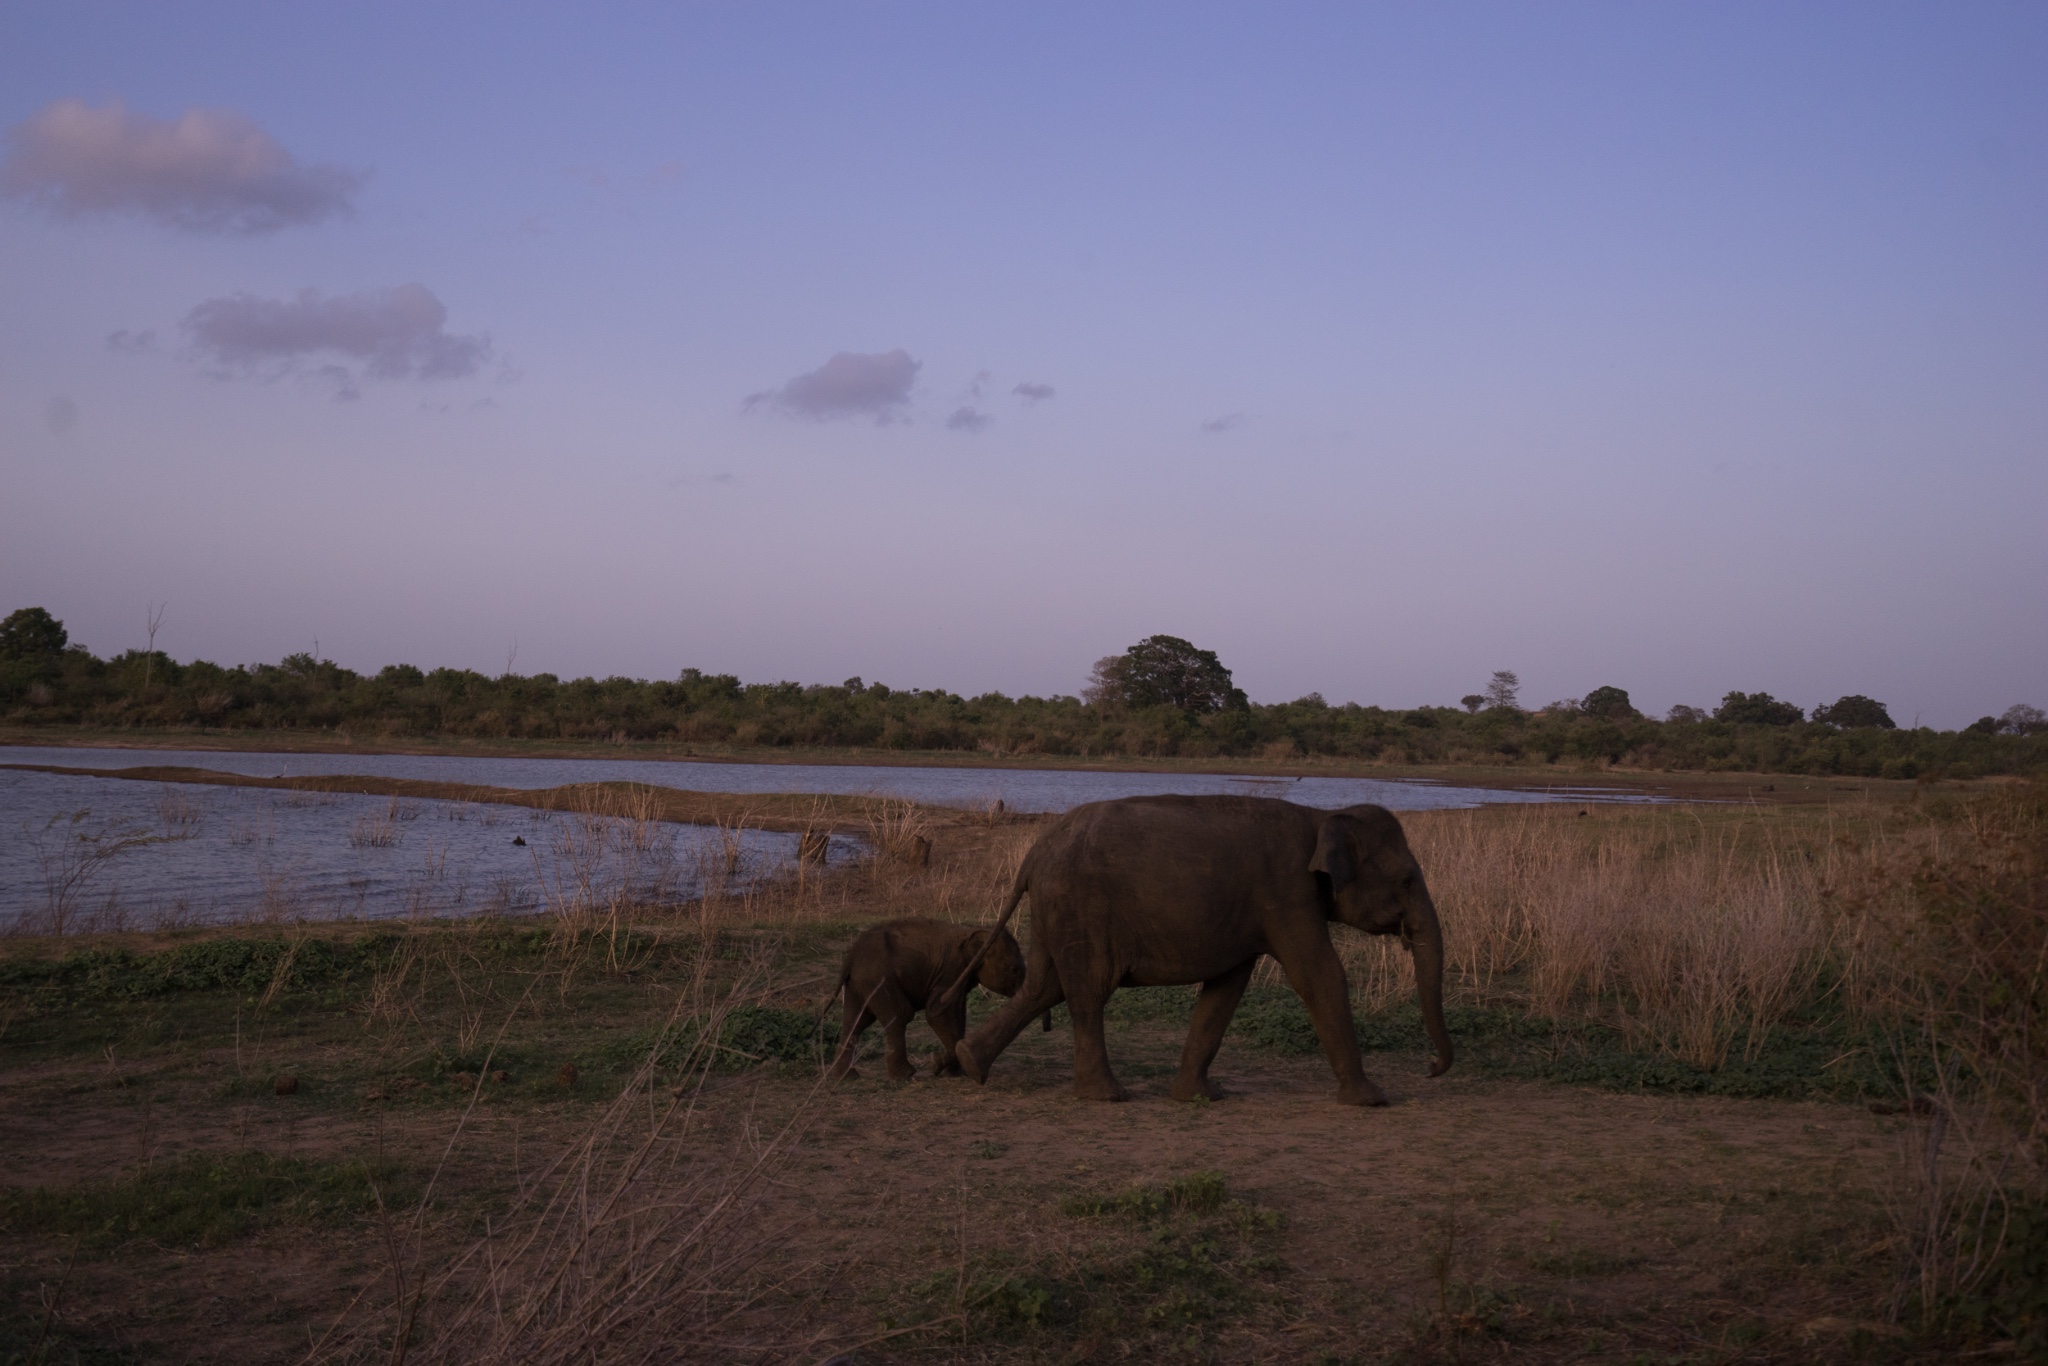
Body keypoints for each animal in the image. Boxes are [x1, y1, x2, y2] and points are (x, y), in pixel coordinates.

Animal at [827, 925, 1024, 1081]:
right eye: (1013, 969)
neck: (971, 930)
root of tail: (850, 957)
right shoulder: (951, 971)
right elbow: (938, 1014)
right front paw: (937, 1064)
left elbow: (958, 1014)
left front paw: (954, 1072)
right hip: (879, 980)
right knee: (900, 1015)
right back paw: (905, 1075)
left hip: (859, 984)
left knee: (856, 1022)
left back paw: (846, 1077)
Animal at [946, 794, 1449, 1105]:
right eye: (1407, 880)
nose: (1430, 1067)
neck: (1322, 815)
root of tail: (1034, 852)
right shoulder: (1288, 896)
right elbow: (1320, 975)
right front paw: (1372, 1100)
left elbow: (1226, 988)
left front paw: (1200, 1097)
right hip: (1078, 906)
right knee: (1087, 990)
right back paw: (1107, 1096)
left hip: (1056, 908)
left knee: (1043, 987)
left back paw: (970, 1062)